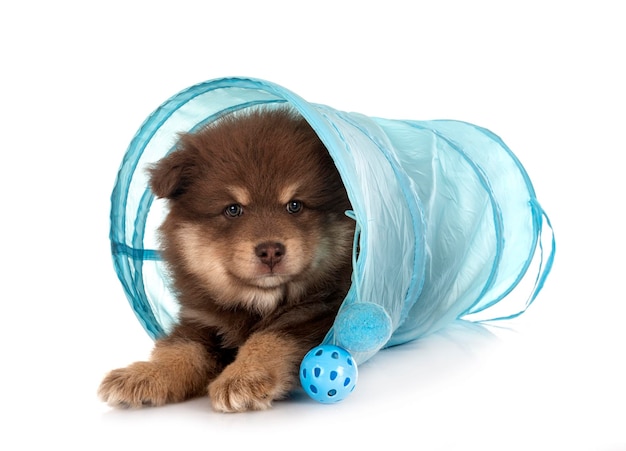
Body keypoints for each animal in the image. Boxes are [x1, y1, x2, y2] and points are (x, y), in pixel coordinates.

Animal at [97, 107, 352, 414]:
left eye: (295, 205)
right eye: (233, 209)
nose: (270, 250)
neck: (257, 303)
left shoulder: (317, 314)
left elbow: (270, 338)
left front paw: (242, 377)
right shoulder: (202, 320)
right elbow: (180, 348)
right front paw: (145, 375)